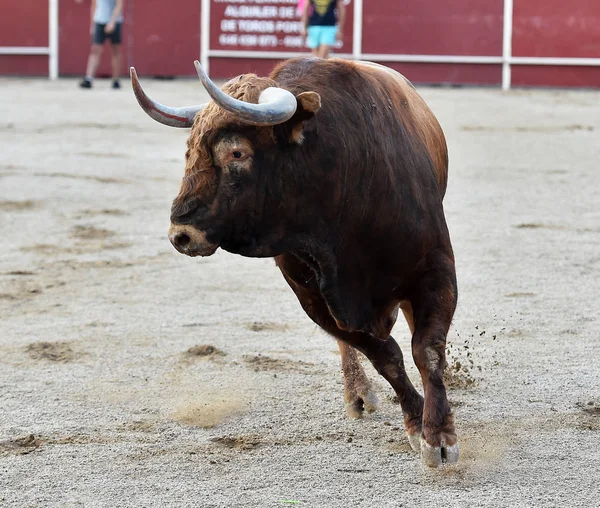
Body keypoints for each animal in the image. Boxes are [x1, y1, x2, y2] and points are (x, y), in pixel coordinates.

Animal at [130, 57, 460, 466]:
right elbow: (385, 356)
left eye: (236, 153)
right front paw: (416, 423)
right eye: (189, 149)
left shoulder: (436, 268)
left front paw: (440, 435)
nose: (181, 234)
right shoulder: (314, 298)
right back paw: (358, 394)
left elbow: (426, 349)